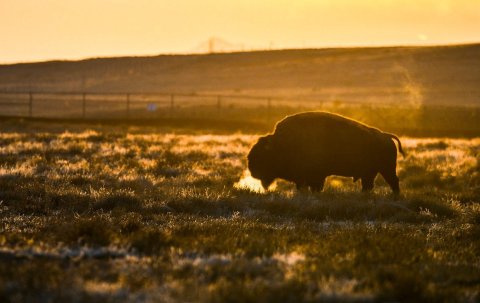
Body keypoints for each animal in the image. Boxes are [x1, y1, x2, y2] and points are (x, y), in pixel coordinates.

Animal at [248, 111, 404, 195]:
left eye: (263, 154)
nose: (251, 169)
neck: (281, 143)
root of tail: (385, 135)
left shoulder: (314, 176)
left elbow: (314, 186)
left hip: (386, 169)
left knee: (393, 181)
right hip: (371, 173)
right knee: (369, 185)